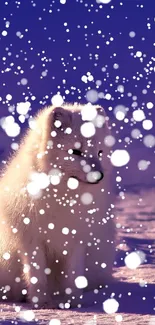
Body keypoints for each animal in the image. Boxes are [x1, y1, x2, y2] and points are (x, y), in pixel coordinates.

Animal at [0, 103, 115, 306]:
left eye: (100, 152)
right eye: (75, 152)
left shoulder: (78, 239)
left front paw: (74, 303)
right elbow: (36, 275)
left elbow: (74, 276)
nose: (99, 176)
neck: (63, 197)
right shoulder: (31, 239)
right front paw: (40, 303)